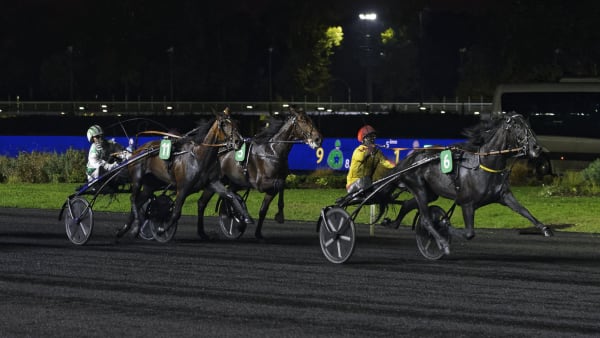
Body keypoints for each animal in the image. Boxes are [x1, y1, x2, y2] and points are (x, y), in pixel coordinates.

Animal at [119, 115, 253, 242]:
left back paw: (127, 229)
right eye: (223, 124)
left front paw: (246, 217)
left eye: (236, 123)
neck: (199, 158)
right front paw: (162, 230)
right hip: (137, 178)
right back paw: (134, 225)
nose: (238, 141)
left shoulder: (212, 182)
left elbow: (230, 195)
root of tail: (139, 149)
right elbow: (176, 212)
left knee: (139, 200)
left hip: (151, 184)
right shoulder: (183, 188)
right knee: (133, 198)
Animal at [197, 107, 322, 239]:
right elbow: (281, 184)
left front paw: (258, 233)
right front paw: (280, 215)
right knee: (202, 203)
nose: (318, 138)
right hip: (214, 181)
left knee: (229, 194)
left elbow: (263, 210)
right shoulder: (261, 184)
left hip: (234, 182)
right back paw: (202, 232)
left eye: (310, 119)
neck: (272, 152)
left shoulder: (271, 190)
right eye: (303, 120)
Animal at [390, 113, 552, 256]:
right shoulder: (467, 203)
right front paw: (443, 226)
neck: (484, 164)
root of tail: (411, 158)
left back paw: (393, 222)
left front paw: (544, 228)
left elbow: (524, 210)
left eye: (529, 126)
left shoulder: (504, 196)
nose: (536, 148)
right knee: (426, 220)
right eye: (517, 126)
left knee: (408, 204)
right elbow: (468, 233)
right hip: (419, 188)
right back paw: (442, 242)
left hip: (430, 192)